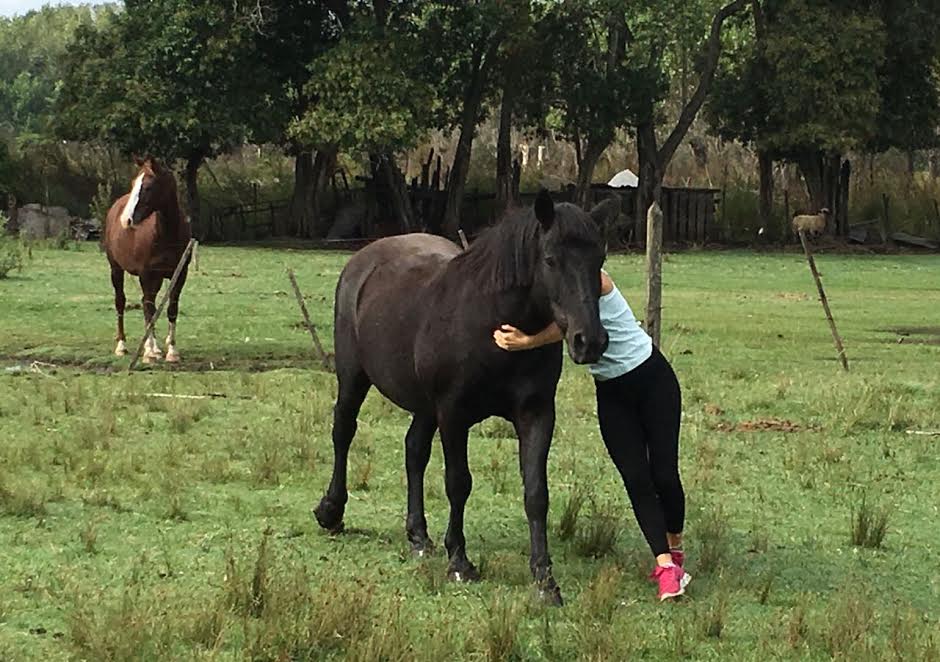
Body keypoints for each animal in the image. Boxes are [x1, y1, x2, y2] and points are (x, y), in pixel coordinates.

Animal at [103, 159, 193, 366]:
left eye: (149, 187)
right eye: (134, 183)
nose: (126, 219)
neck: (167, 234)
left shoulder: (180, 274)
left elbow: (171, 309)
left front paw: (172, 351)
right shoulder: (146, 274)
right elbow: (149, 308)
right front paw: (150, 352)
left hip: (157, 279)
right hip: (116, 269)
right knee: (122, 302)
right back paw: (123, 345)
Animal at [316, 192, 608, 608]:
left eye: (599, 260)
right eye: (551, 259)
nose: (590, 341)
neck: (494, 326)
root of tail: (364, 259)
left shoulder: (535, 413)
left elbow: (536, 493)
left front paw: (544, 579)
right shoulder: (453, 414)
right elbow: (458, 483)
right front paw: (459, 561)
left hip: (424, 406)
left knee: (414, 451)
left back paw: (418, 536)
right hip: (354, 377)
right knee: (343, 431)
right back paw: (331, 511)